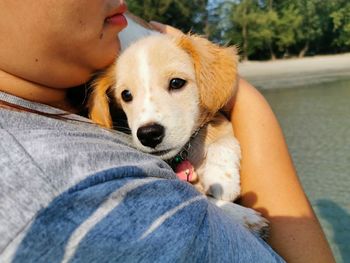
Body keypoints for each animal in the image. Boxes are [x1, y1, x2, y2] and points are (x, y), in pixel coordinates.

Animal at [88, 14, 268, 237]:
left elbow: (222, 136)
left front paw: (223, 180)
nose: (148, 134)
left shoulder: (217, 116)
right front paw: (244, 216)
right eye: (126, 95)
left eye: (176, 83)